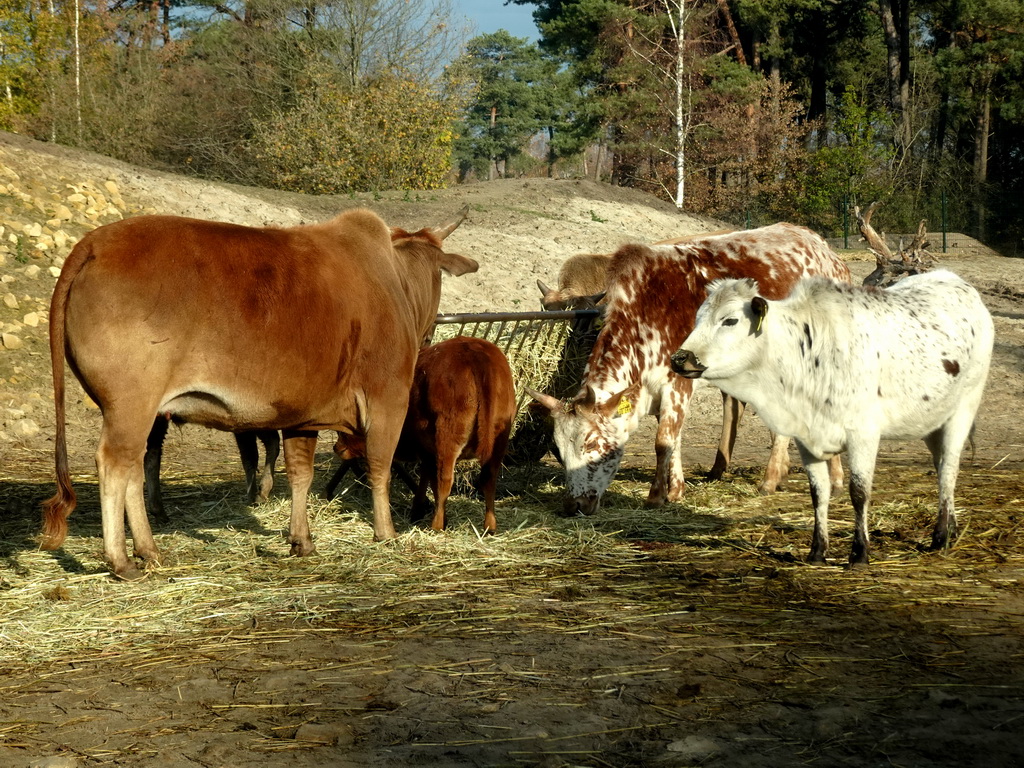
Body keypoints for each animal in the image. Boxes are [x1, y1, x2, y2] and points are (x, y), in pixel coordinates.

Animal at [39, 207, 479, 581]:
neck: (394, 281)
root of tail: (94, 242)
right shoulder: (388, 398)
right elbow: (380, 467)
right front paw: (386, 532)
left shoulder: (305, 414)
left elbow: (300, 474)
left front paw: (301, 539)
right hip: (132, 403)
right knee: (115, 464)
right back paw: (121, 560)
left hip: (140, 411)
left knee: (134, 465)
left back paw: (149, 549)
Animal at [331, 335, 516, 536]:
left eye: (343, 430)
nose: (336, 447)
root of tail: (473, 349)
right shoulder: (427, 451)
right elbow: (426, 478)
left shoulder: (427, 450)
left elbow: (430, 481)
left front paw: (421, 511)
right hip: (498, 441)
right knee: (489, 479)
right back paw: (490, 526)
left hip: (448, 440)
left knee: (445, 481)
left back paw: (437, 525)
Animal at [524, 225, 851, 520]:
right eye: (559, 451)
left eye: (592, 443)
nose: (573, 505)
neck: (647, 314)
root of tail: (826, 250)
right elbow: (676, 440)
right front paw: (676, 490)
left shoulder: (677, 383)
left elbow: (664, 442)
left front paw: (656, 496)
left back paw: (781, 479)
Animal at [671, 270, 991, 565]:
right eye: (698, 319)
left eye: (730, 320)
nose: (679, 358)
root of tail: (957, 282)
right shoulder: (806, 437)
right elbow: (819, 492)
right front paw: (817, 551)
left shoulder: (864, 434)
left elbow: (859, 492)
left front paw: (859, 553)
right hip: (933, 421)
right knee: (940, 465)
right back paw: (950, 528)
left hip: (964, 409)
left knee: (948, 471)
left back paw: (941, 536)